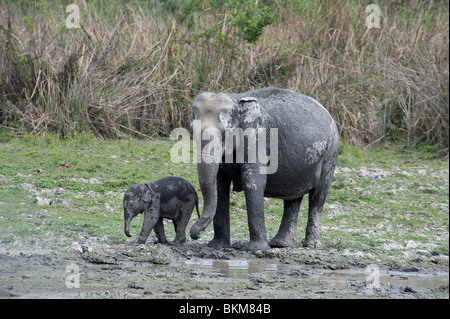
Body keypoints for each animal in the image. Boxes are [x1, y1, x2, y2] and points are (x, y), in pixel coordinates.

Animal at [188, 87, 340, 252]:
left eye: (225, 133)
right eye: (191, 130)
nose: (196, 235)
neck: (236, 99)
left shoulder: (257, 139)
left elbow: (253, 183)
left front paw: (257, 249)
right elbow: (220, 186)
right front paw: (217, 246)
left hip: (330, 153)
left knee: (318, 196)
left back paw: (310, 245)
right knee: (293, 199)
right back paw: (281, 244)